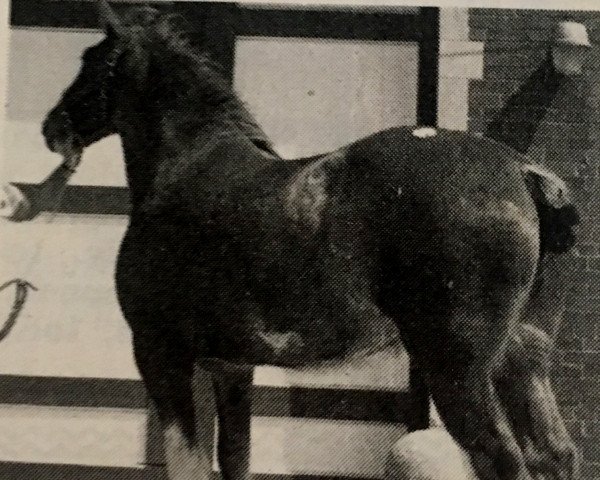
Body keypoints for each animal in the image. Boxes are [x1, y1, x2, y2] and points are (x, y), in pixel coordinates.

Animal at [42, 3, 580, 480]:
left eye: (91, 61)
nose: (52, 127)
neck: (185, 169)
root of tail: (521, 171)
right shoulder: (232, 367)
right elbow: (235, 458)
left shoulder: (160, 353)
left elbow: (187, 464)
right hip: (519, 361)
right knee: (553, 454)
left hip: (457, 370)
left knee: (502, 458)